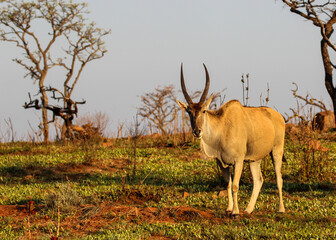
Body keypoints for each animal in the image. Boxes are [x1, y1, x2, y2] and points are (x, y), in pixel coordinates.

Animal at [177, 63, 284, 218]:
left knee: (278, 178)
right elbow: (228, 184)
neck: (223, 128)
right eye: (189, 111)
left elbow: (235, 185)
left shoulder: (238, 161)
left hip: (276, 151)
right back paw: (249, 209)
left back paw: (280, 209)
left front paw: (235, 212)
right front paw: (229, 208)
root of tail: (279, 116)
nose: (197, 131)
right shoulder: (223, 164)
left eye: (203, 110)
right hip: (254, 160)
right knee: (258, 180)